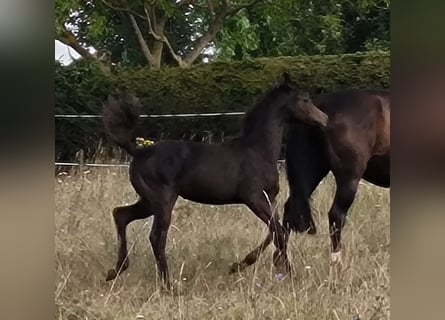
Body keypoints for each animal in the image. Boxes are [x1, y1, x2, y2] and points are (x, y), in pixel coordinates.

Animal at [102, 73, 328, 288]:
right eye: (305, 99)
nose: (324, 119)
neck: (258, 150)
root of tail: (139, 152)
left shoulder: (269, 198)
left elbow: (276, 231)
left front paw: (244, 265)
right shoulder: (253, 197)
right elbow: (279, 231)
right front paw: (287, 271)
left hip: (148, 201)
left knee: (121, 214)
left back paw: (115, 270)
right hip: (162, 200)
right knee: (156, 237)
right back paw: (168, 285)